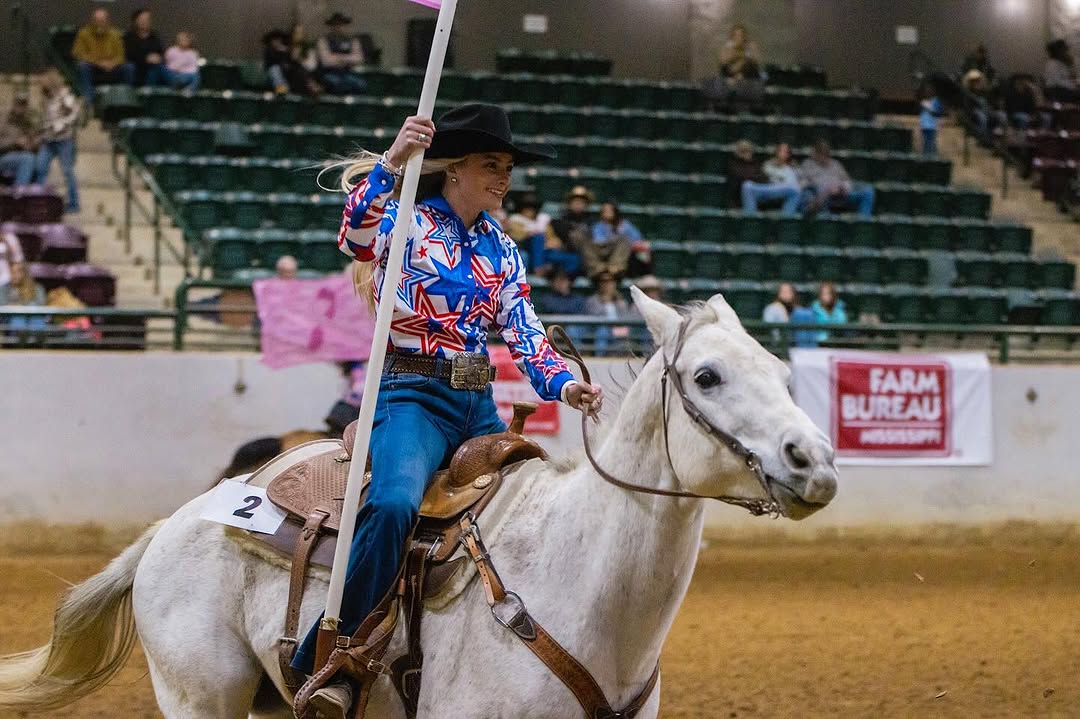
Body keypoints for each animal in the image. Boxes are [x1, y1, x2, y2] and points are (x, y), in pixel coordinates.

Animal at [0, 289, 838, 718]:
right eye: (707, 376)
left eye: (777, 368)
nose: (817, 462)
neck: (579, 587)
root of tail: (169, 527)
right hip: (199, 697)